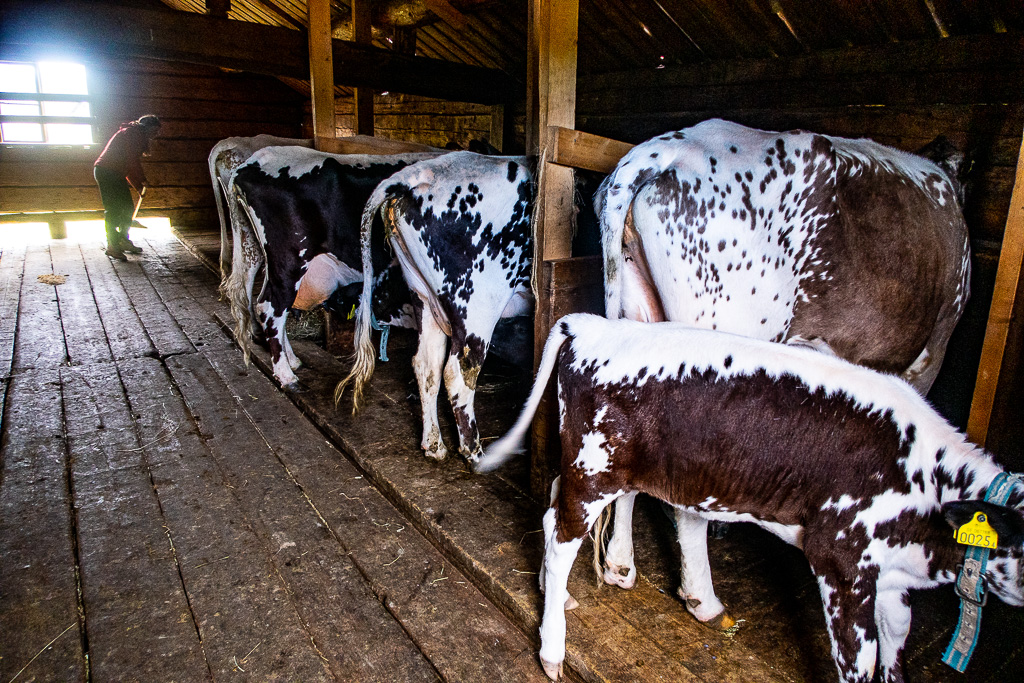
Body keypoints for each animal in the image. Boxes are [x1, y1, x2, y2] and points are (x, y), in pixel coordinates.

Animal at [228, 146, 440, 387]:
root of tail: (254, 161)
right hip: (290, 259)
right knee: (270, 307)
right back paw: (286, 374)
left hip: (259, 253)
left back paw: (292, 360)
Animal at [339, 152, 532, 462]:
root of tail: (422, 172)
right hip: (477, 303)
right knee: (459, 373)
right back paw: (474, 451)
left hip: (423, 296)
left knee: (425, 364)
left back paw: (434, 444)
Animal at [477, 313, 1024, 683]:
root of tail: (592, 325)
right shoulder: (841, 562)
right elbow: (861, 660)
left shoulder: (891, 573)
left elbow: (897, 637)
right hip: (595, 468)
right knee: (563, 535)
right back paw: (552, 649)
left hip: (599, 466)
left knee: (554, 508)